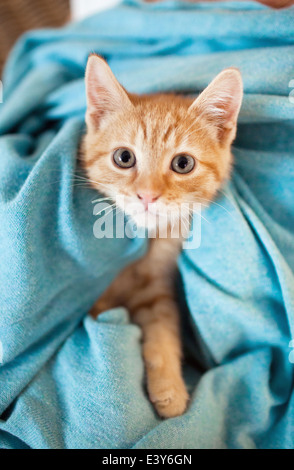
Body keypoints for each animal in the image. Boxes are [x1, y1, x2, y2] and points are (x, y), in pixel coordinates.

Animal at [81, 55, 242, 418]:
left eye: (183, 163)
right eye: (124, 158)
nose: (148, 196)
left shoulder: (157, 291)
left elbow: (164, 331)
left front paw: (169, 388)